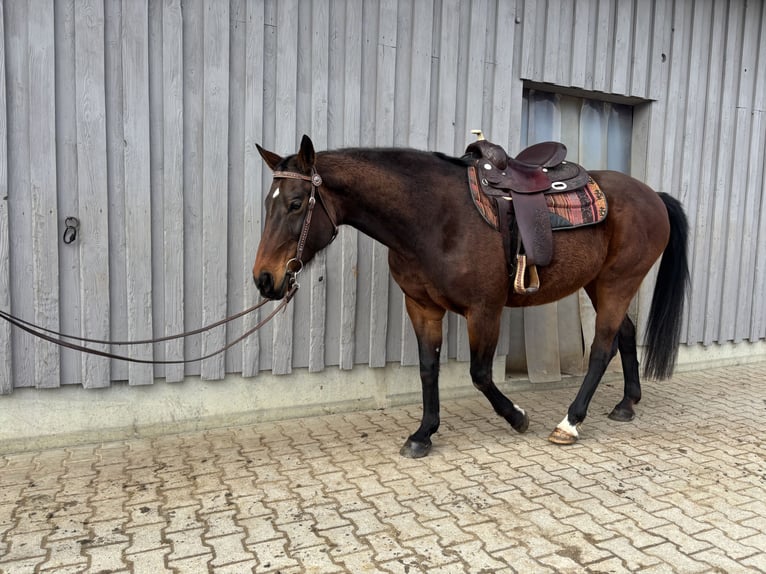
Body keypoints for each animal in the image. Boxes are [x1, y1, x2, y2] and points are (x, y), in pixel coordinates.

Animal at [253, 135, 689, 458]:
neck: (433, 217)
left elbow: (480, 374)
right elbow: (428, 369)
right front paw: (423, 434)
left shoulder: (484, 311)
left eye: (295, 203)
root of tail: (653, 194)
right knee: (625, 334)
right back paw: (626, 404)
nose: (264, 279)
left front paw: (517, 417)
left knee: (601, 348)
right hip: (599, 284)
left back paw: (569, 423)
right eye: (268, 204)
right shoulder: (422, 307)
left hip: (618, 282)